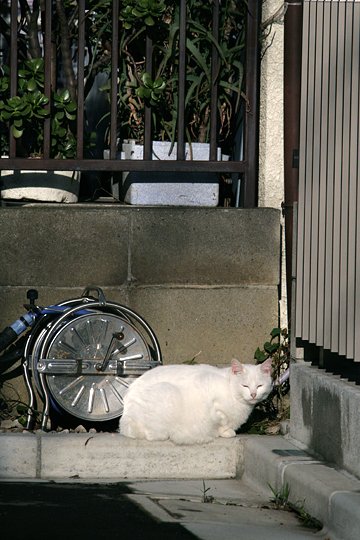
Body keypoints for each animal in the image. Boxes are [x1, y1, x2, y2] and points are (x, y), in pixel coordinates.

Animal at [119, 358, 272, 442]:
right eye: (245, 386)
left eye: (259, 386)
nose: (253, 394)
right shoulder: (207, 391)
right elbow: (220, 418)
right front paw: (224, 430)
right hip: (167, 392)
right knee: (150, 434)